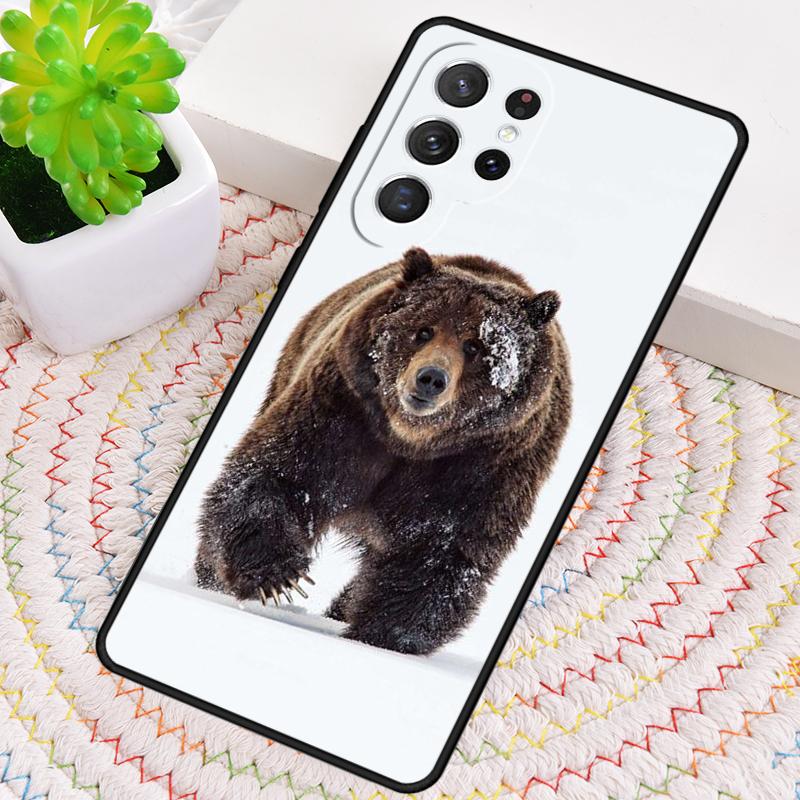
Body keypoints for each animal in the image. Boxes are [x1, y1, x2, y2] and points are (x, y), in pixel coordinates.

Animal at [195, 247, 572, 655]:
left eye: (475, 345)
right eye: (424, 330)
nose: (431, 378)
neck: (410, 439)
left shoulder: (483, 463)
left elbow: (440, 548)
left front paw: (385, 635)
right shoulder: (345, 410)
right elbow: (280, 474)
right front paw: (280, 576)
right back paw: (208, 578)